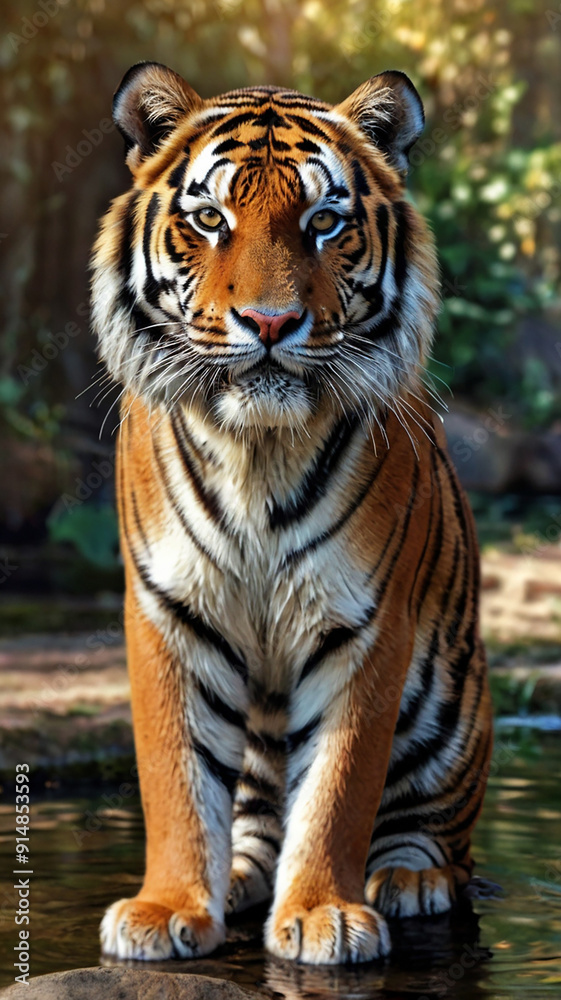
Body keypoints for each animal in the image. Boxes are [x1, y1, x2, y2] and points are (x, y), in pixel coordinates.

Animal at [91, 61, 493, 965]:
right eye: (210, 219)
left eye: (323, 222)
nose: (270, 323)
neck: (257, 447)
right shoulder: (170, 609)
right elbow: (176, 775)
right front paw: (166, 909)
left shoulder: (363, 622)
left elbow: (339, 787)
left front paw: (321, 915)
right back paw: (242, 874)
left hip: (451, 702)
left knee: (435, 831)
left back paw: (408, 876)